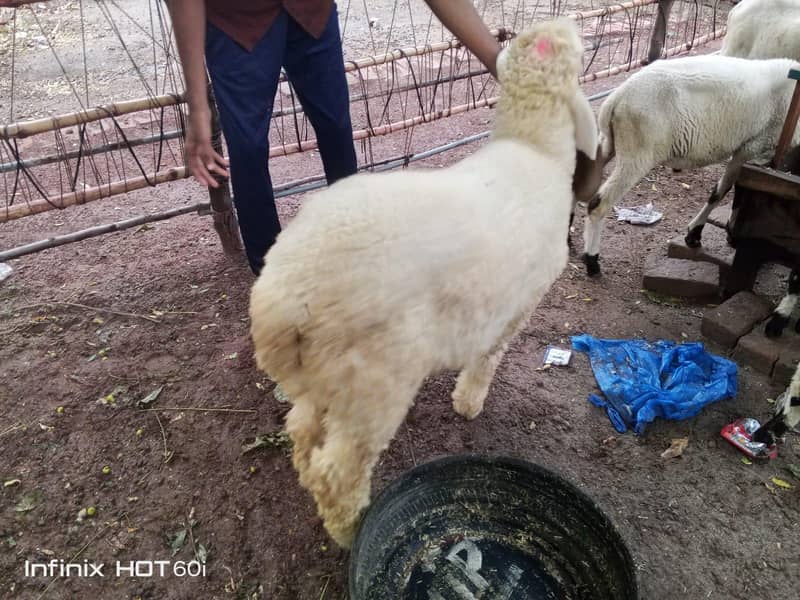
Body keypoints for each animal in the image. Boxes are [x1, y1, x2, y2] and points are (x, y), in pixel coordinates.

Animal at [248, 17, 598, 548]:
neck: (532, 143)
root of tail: (283, 300)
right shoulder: (516, 304)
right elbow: (488, 357)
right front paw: (469, 403)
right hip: (373, 384)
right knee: (338, 470)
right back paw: (351, 530)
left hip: (323, 380)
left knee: (303, 436)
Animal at [581, 55, 800, 277]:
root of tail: (616, 97)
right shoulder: (753, 148)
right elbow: (724, 191)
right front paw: (696, 234)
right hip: (637, 153)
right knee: (598, 204)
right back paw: (592, 260)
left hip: (609, 144)